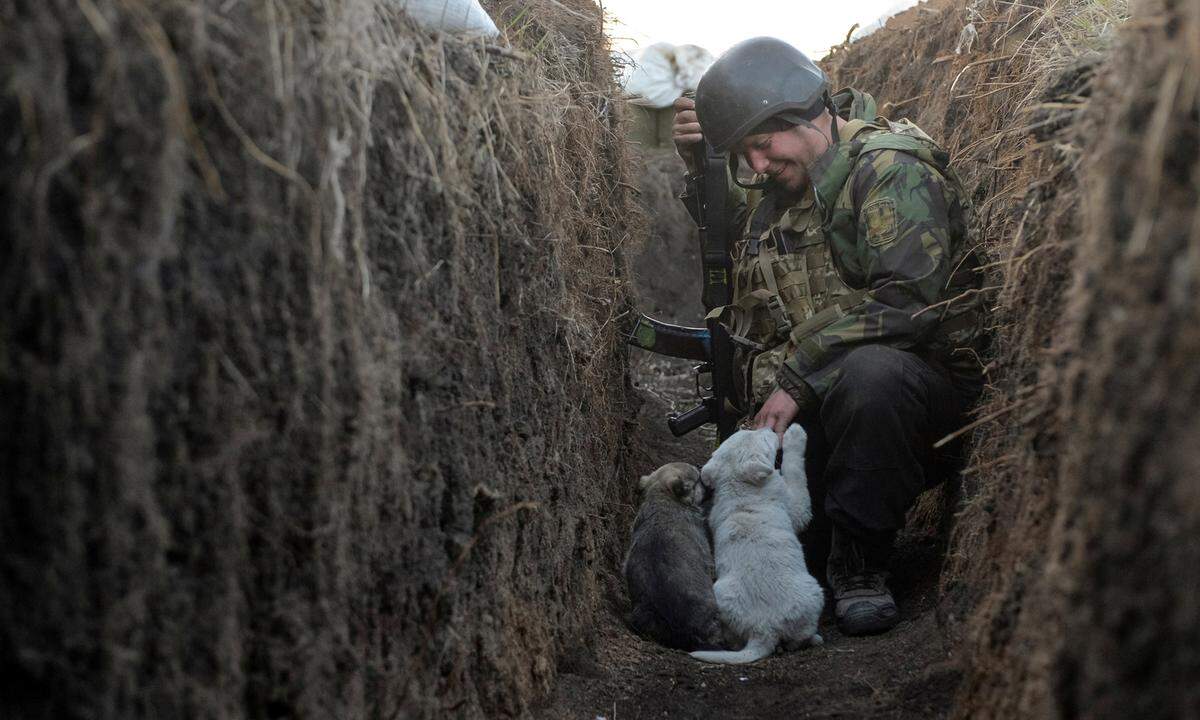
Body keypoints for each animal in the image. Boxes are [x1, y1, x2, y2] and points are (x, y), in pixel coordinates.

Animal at [696, 424, 825, 667]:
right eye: (763, 438)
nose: (768, 427)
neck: (739, 488)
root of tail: (764, 629)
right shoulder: (796, 506)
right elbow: (794, 471)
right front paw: (795, 435)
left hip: (721, 594)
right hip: (812, 591)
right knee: (798, 638)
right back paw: (814, 638)